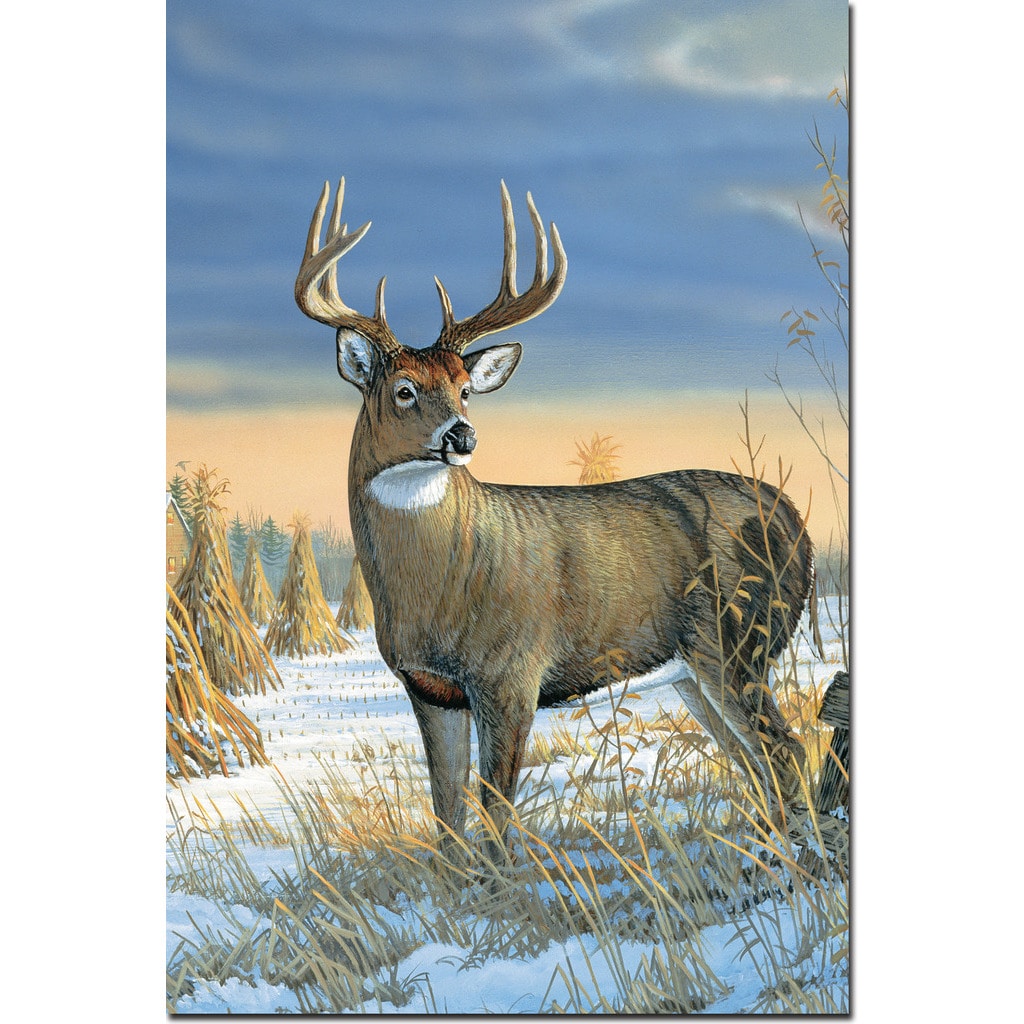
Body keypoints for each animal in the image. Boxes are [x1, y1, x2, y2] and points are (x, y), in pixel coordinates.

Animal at [295, 177, 815, 853]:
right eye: (403, 389)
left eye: (465, 388)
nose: (461, 435)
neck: (440, 586)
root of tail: (797, 523)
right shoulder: (429, 689)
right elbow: (447, 819)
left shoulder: (512, 673)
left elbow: (495, 817)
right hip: (693, 672)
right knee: (753, 759)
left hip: (737, 640)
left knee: (785, 750)